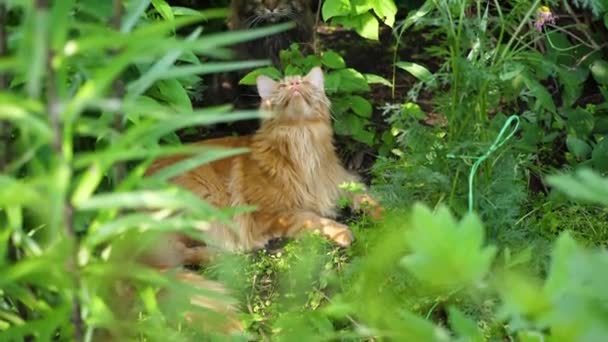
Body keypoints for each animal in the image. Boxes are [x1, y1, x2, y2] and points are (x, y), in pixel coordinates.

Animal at [145, 66, 382, 260]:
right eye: (284, 86)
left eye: (303, 83)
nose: (294, 85)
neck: (301, 140)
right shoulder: (268, 214)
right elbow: (311, 218)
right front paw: (343, 231)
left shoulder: (342, 181)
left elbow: (368, 198)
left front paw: (387, 220)